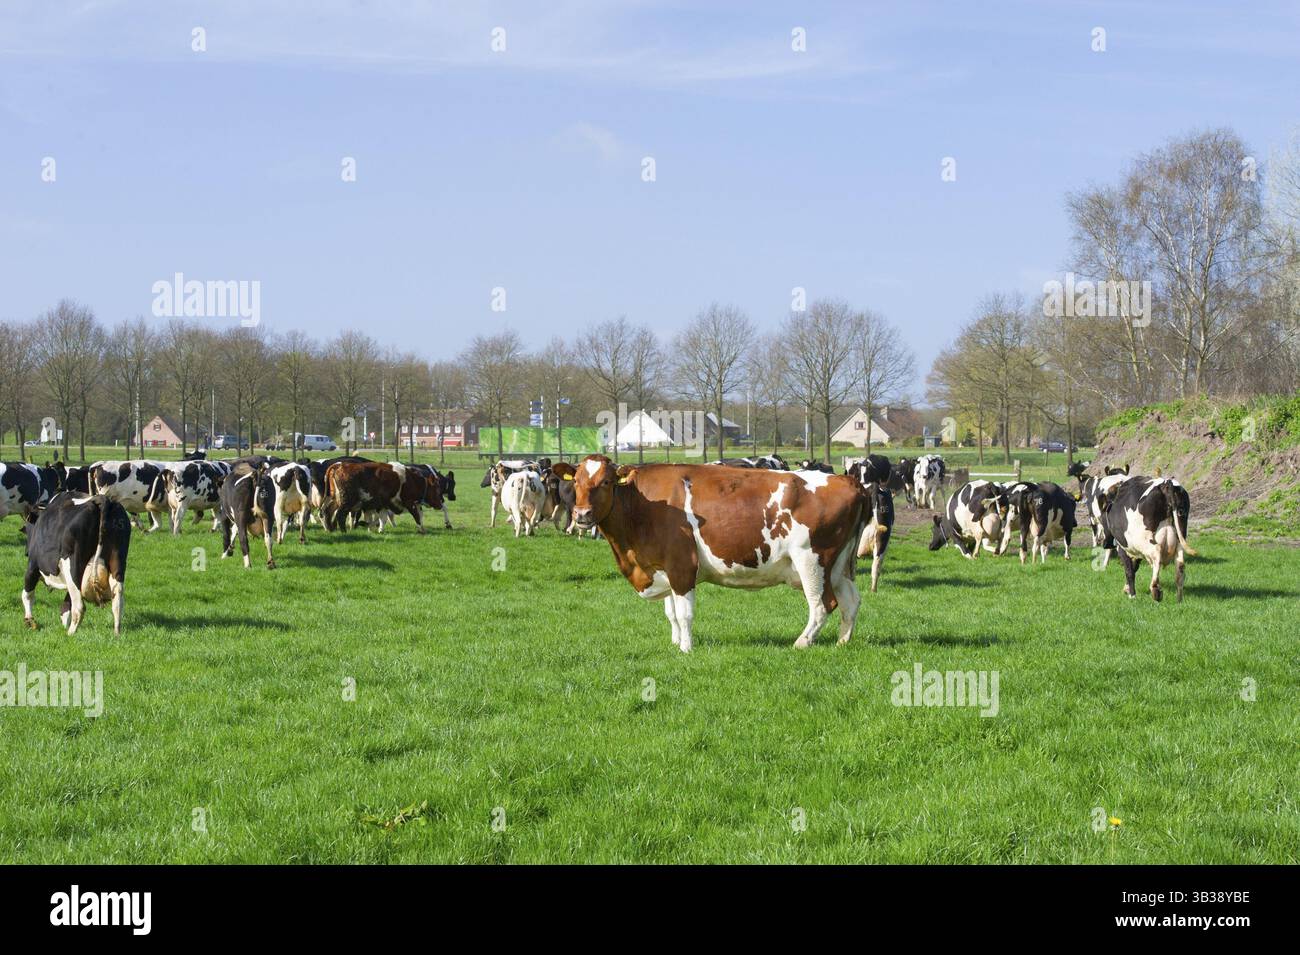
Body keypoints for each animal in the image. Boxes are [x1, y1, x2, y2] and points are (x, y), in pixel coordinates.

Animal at [20, 493, 130, 635]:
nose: (26, 552)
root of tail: (103, 499)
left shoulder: (32, 566)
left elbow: (27, 594)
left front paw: (29, 621)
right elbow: (66, 605)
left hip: (73, 566)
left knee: (79, 606)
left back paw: (70, 634)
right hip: (118, 561)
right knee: (117, 600)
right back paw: (116, 632)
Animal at [570, 455, 869, 652]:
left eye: (606, 481)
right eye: (575, 483)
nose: (581, 514)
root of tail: (847, 480)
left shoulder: (682, 567)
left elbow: (684, 613)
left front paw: (686, 649)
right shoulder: (663, 566)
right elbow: (671, 612)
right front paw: (675, 642)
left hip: (812, 559)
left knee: (822, 604)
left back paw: (802, 642)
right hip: (839, 566)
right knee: (851, 601)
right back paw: (843, 642)